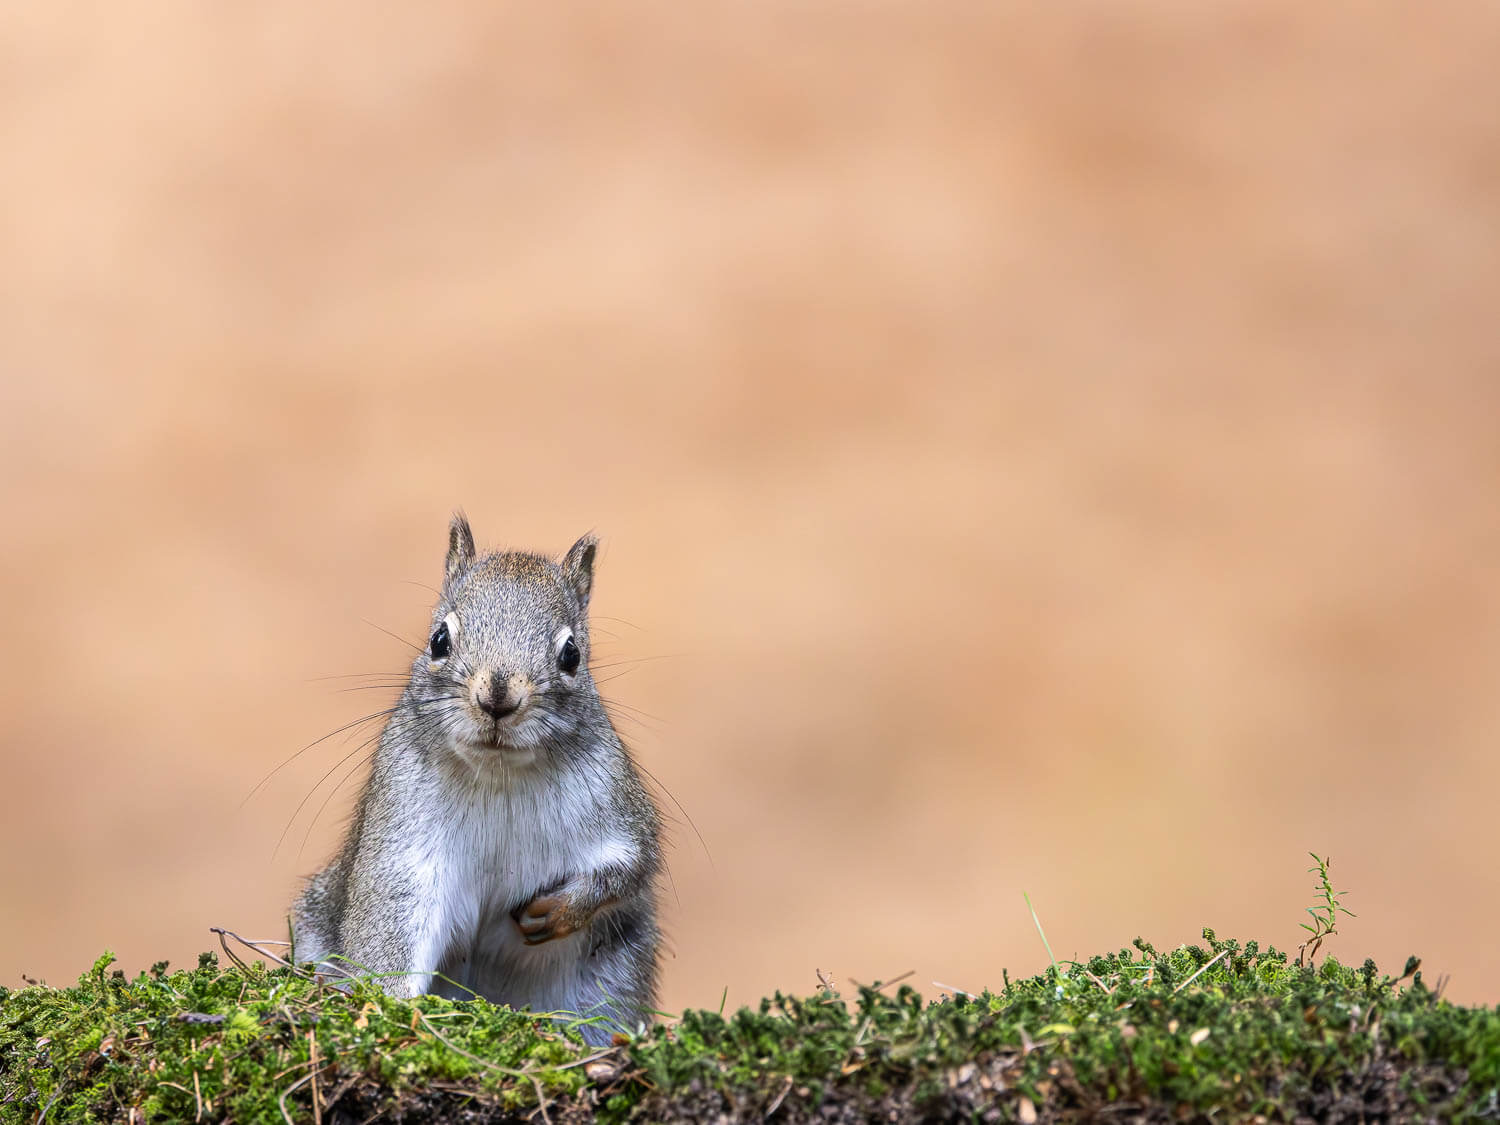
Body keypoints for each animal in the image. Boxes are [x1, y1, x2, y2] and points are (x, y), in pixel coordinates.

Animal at [291, 519, 663, 1050]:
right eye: (438, 640)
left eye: (572, 655)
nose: (497, 698)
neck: (498, 774)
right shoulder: (403, 836)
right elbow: (392, 918)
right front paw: (382, 1006)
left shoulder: (615, 806)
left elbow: (633, 864)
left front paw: (561, 910)